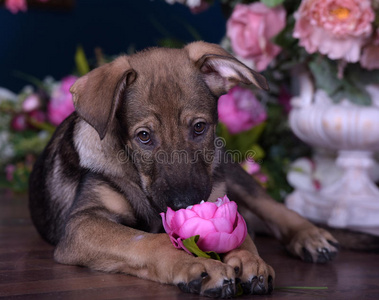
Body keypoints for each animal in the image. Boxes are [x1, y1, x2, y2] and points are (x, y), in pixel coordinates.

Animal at [28, 42, 340, 298]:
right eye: (144, 136)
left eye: (199, 127)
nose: (185, 204)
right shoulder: (83, 223)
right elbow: (149, 241)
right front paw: (196, 264)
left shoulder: (218, 197)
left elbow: (242, 232)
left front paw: (251, 259)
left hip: (228, 170)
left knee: (270, 205)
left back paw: (310, 235)